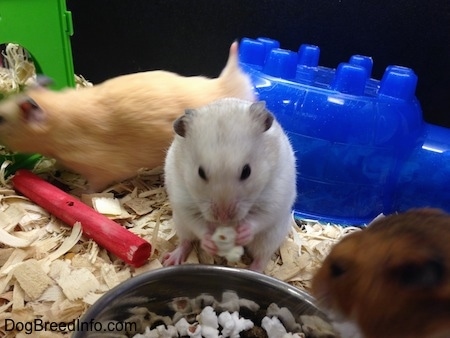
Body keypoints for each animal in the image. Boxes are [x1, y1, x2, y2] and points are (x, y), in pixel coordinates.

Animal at [163, 97, 298, 272]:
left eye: (247, 171)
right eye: (200, 172)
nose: (223, 217)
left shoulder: (275, 198)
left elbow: (261, 218)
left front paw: (243, 233)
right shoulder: (183, 201)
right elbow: (197, 224)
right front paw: (209, 242)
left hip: (272, 235)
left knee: (262, 257)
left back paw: (254, 269)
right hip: (180, 224)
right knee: (186, 241)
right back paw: (169, 260)